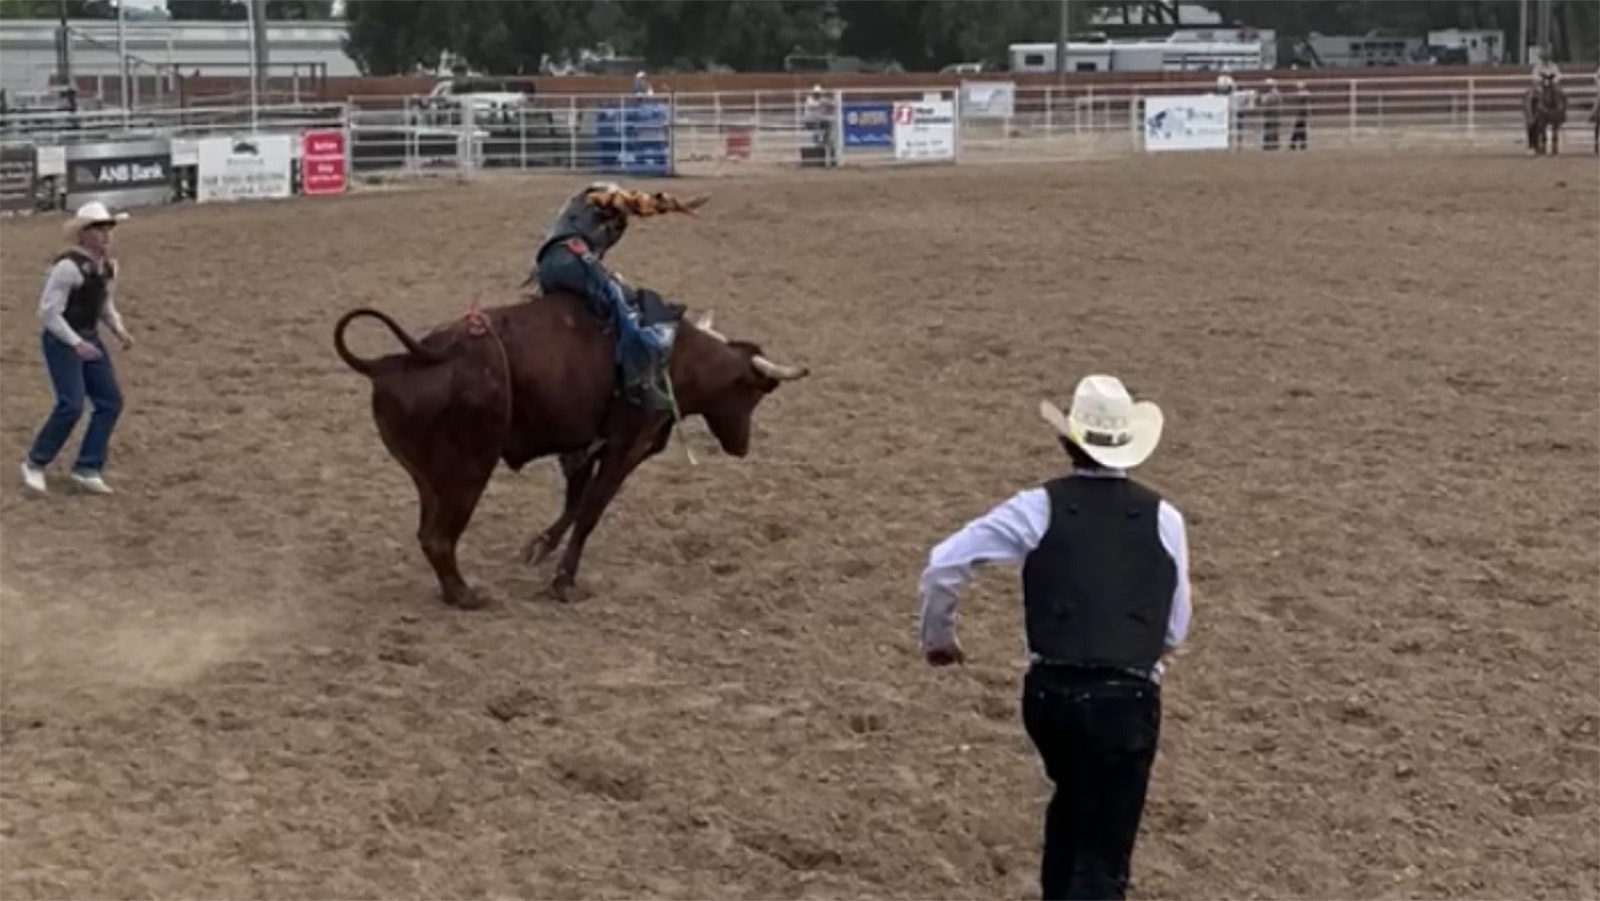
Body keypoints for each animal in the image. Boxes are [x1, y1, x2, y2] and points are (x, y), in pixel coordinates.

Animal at [337, 292, 812, 611]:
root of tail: (401, 359)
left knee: (427, 534)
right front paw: (563, 581)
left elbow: (574, 502)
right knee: (438, 537)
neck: (672, 356)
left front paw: (538, 548)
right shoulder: (624, 447)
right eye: (755, 392)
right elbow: (590, 511)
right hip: (467, 471)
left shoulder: (584, 447)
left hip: (429, 479)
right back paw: (466, 595)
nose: (742, 447)